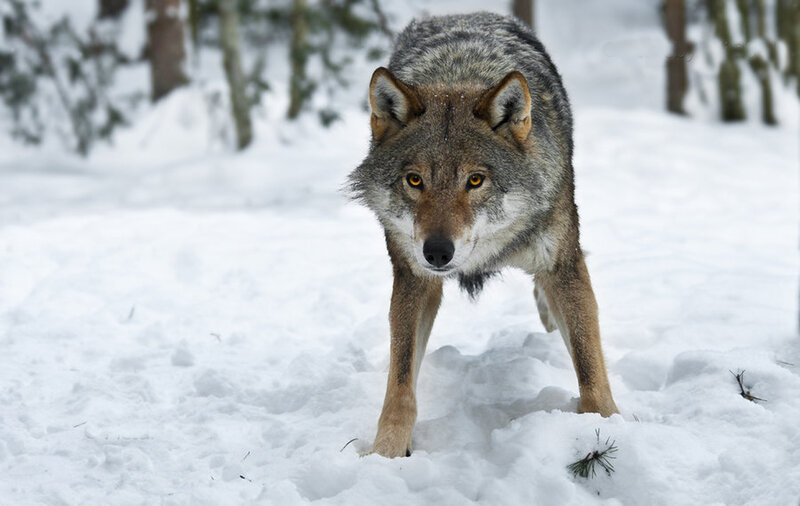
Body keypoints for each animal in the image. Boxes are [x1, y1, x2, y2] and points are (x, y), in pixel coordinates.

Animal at [348, 12, 619, 458]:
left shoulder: (562, 265)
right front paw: (385, 453)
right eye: (414, 180)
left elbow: (590, 368)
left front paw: (610, 429)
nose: (437, 252)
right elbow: (400, 383)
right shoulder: (414, 279)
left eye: (475, 180)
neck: (459, 73)